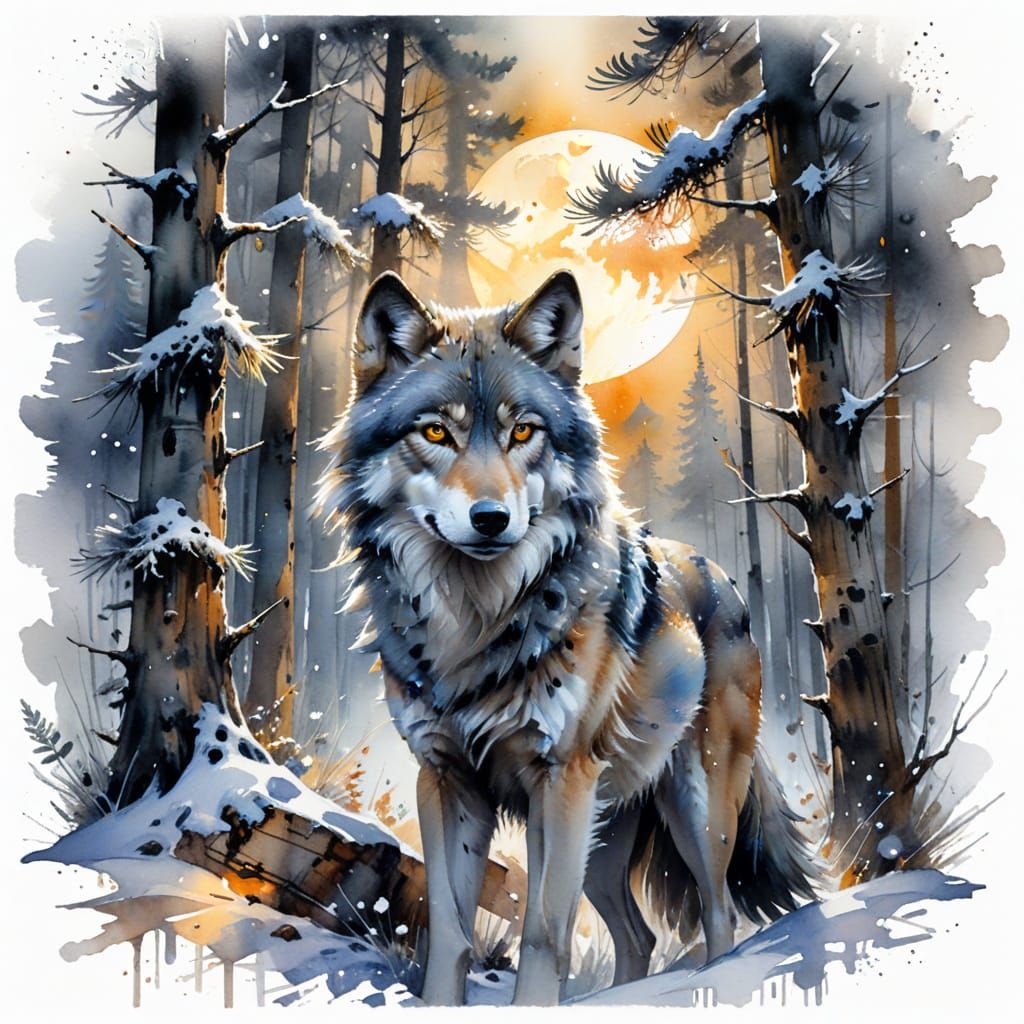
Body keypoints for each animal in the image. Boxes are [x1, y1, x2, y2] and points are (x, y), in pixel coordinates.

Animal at [318, 270, 815, 1006]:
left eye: (524, 430)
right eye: (435, 431)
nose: (490, 518)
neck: (474, 623)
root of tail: (722, 576)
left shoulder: (559, 780)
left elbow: (542, 936)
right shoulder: (446, 779)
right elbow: (451, 935)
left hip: (690, 811)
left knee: (719, 915)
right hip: (605, 835)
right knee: (639, 935)